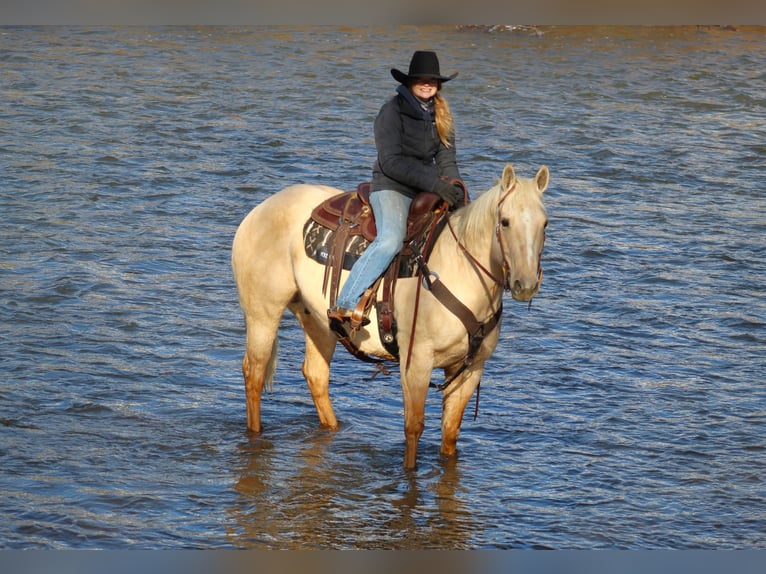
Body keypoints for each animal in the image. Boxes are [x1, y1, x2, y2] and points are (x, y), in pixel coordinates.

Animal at [231, 164, 548, 470]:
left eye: (545, 223)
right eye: (505, 221)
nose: (525, 285)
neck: (460, 270)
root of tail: (260, 209)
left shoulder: (470, 369)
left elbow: (450, 434)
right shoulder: (416, 362)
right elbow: (413, 429)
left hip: (318, 322)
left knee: (315, 375)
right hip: (262, 314)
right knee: (254, 374)